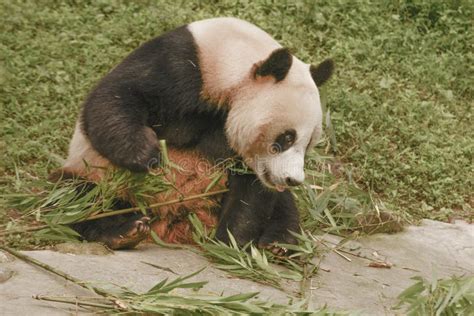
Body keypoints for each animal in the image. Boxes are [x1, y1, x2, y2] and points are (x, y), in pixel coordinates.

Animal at [52, 17, 334, 252]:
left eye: (309, 144)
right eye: (287, 138)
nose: (292, 179)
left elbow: (251, 192)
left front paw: (230, 243)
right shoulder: (179, 66)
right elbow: (113, 98)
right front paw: (147, 154)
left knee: (285, 207)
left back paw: (279, 243)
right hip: (97, 173)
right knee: (76, 197)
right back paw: (123, 232)